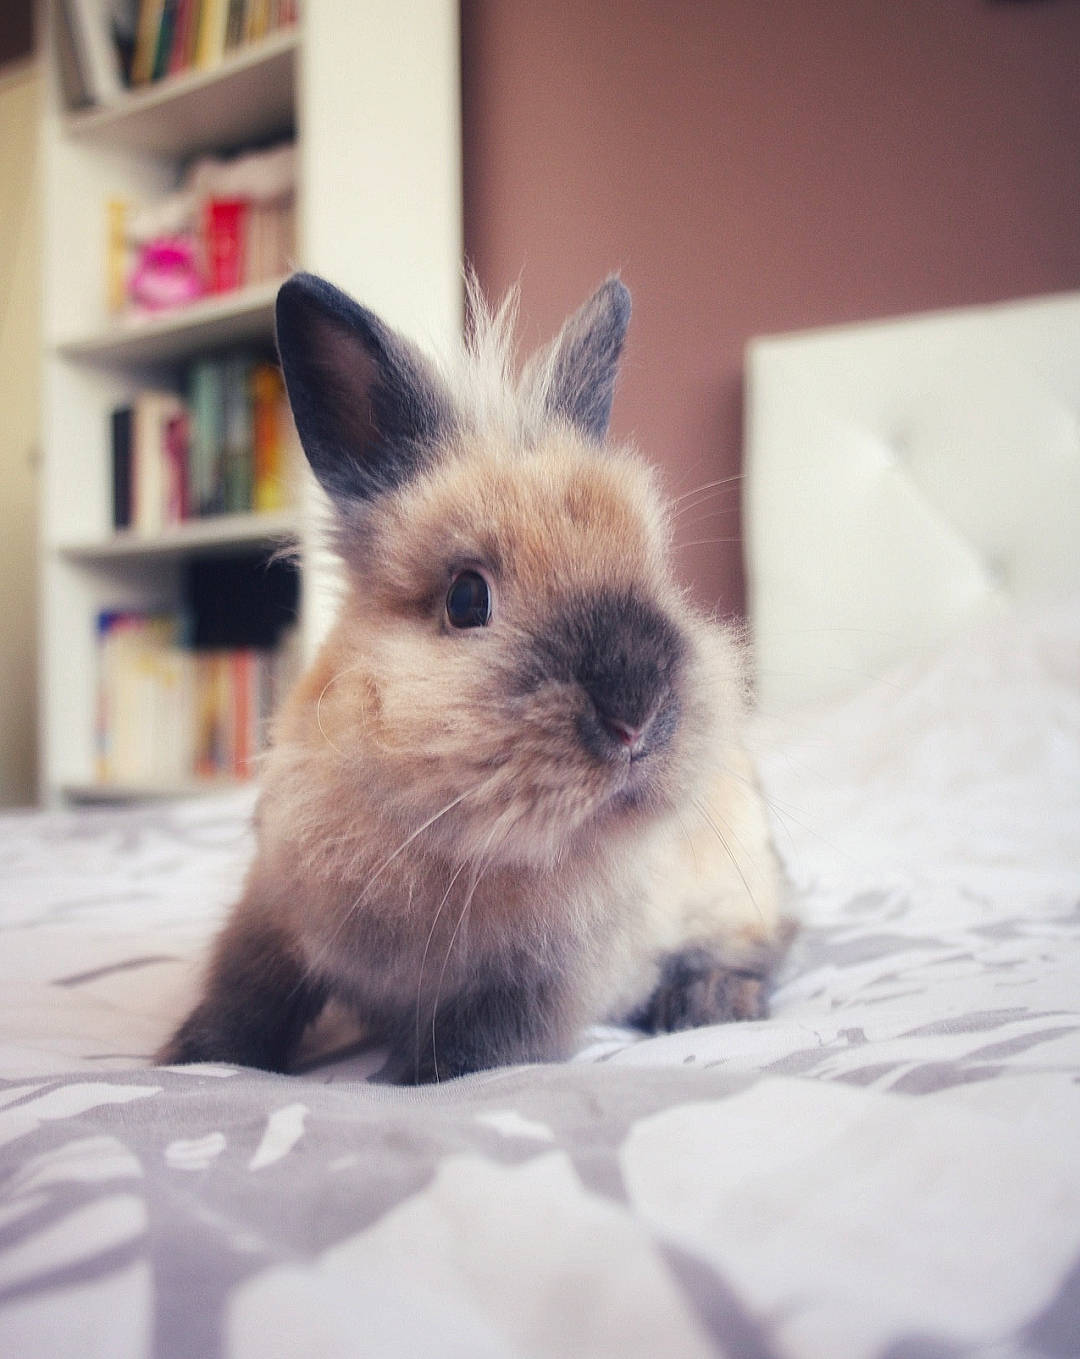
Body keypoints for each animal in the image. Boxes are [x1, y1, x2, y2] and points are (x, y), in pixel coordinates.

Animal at [159, 272, 793, 1083]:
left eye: (656, 572)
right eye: (467, 598)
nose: (636, 718)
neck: (445, 839)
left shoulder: (531, 985)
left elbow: (470, 1055)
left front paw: (397, 1083)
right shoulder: (273, 917)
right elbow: (244, 995)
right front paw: (191, 1057)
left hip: (735, 889)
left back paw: (708, 1002)